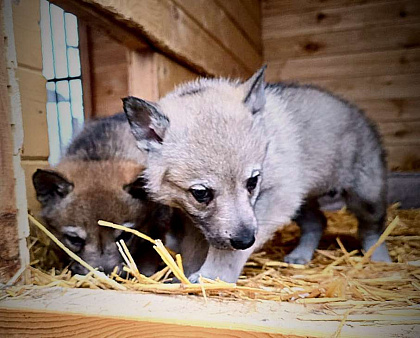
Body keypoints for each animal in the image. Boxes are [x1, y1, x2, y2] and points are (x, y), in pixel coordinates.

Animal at [123, 66, 392, 282]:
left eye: (253, 181)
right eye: (200, 193)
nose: (245, 240)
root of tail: (358, 111)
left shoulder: (274, 197)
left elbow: (227, 253)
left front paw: (213, 275)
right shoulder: (194, 218)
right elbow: (195, 247)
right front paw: (186, 275)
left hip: (365, 194)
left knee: (372, 227)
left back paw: (378, 256)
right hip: (301, 200)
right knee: (317, 222)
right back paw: (300, 255)